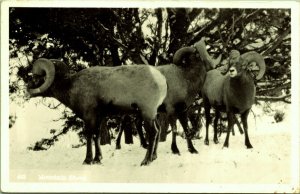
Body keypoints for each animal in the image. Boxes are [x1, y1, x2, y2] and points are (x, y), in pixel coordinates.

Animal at [27, 58, 168, 166]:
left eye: (36, 77)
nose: (27, 89)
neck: (71, 88)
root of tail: (161, 79)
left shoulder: (89, 117)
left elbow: (89, 136)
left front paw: (87, 160)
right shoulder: (98, 117)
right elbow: (97, 136)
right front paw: (97, 159)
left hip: (147, 113)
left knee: (153, 133)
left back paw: (146, 161)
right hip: (152, 115)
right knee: (157, 131)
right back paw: (153, 158)